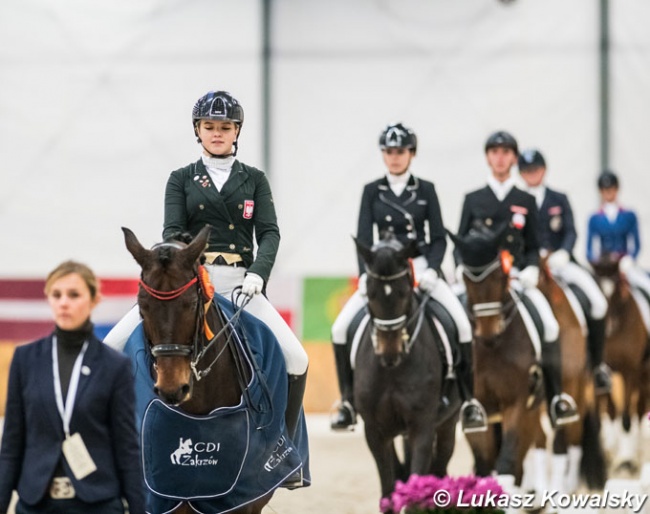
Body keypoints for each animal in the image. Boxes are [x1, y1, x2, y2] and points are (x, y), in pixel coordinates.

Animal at [588, 253, 644, 472]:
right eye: (595, 286)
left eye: (617, 289)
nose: (607, 327)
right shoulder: (604, 372)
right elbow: (607, 413)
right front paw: (608, 454)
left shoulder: (631, 371)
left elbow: (626, 417)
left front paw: (626, 461)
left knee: (639, 410)